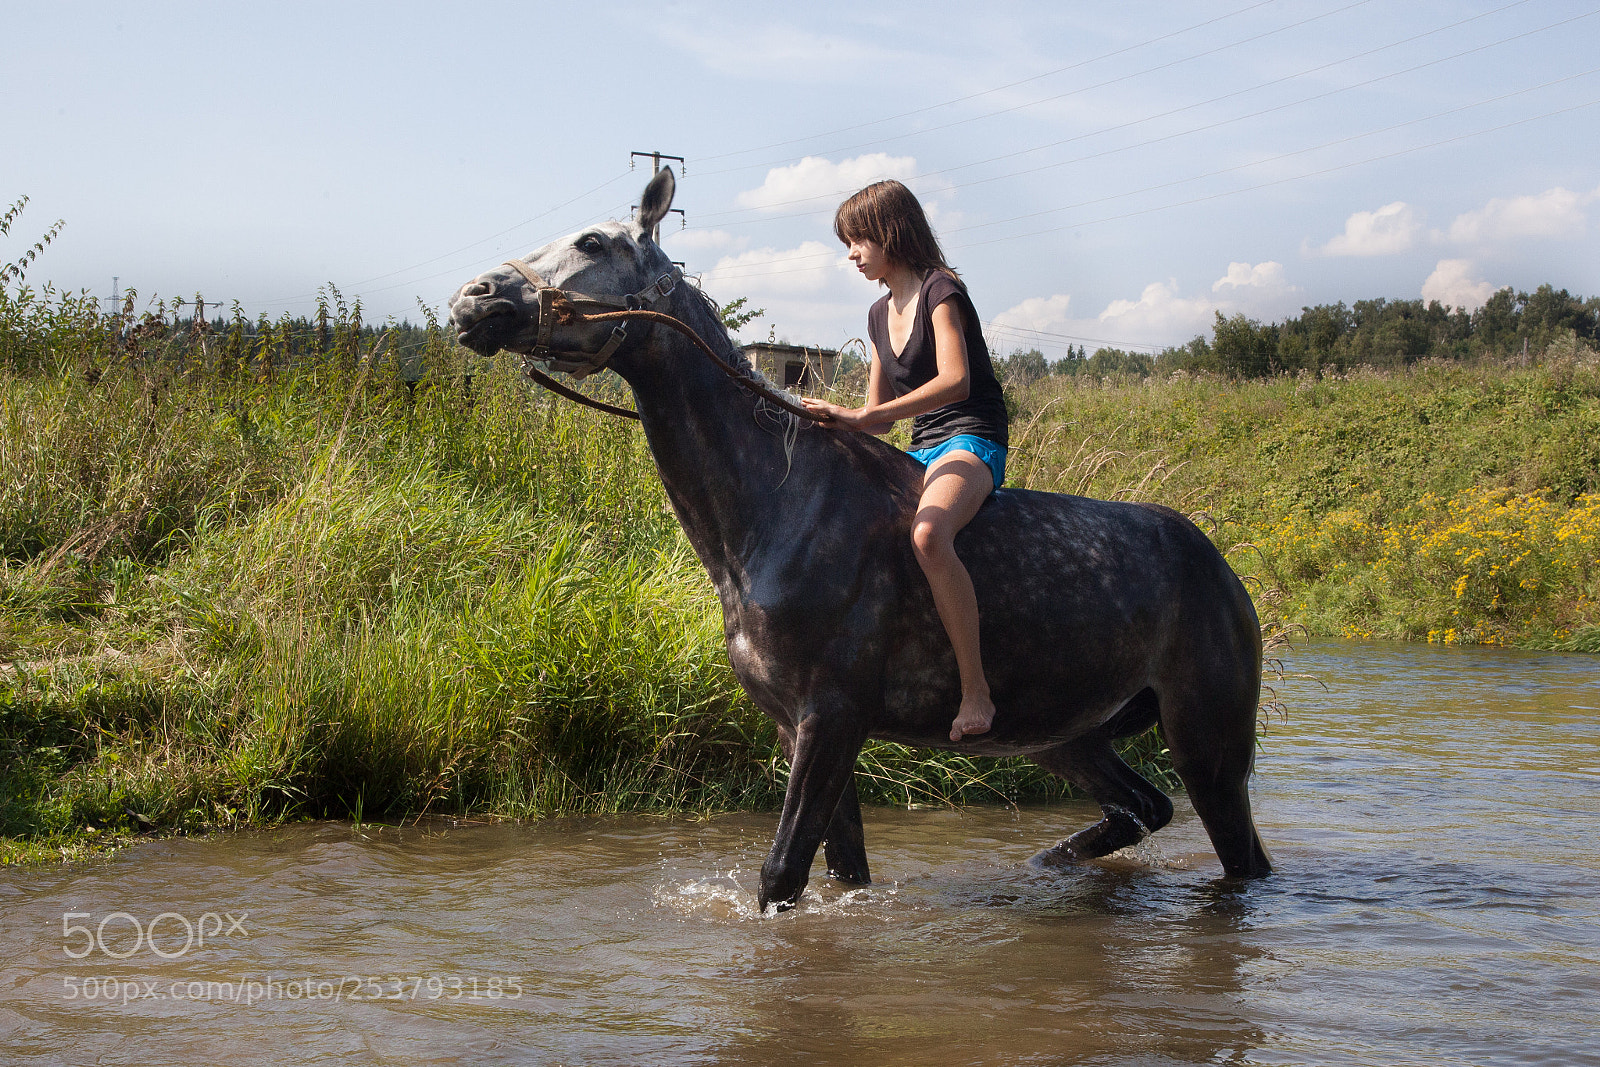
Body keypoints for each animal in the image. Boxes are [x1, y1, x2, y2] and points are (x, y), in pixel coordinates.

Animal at [448, 168, 1272, 911]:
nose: (472, 298)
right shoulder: (798, 726)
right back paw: (1050, 864)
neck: (776, 510)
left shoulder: (832, 718)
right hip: (1064, 733)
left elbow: (782, 871)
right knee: (1142, 808)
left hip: (1207, 745)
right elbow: (840, 869)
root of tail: (1221, 569)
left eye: (591, 241)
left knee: (1239, 859)